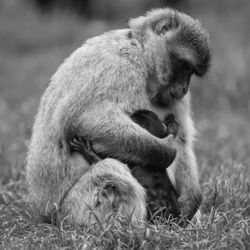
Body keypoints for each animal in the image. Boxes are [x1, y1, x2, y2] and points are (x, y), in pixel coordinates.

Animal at [25, 8, 210, 226]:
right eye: (185, 67)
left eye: (191, 72)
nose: (183, 89)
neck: (143, 59)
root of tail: (43, 214)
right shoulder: (120, 64)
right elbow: (84, 117)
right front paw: (165, 151)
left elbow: (182, 138)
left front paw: (192, 198)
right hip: (69, 212)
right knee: (110, 171)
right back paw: (130, 228)